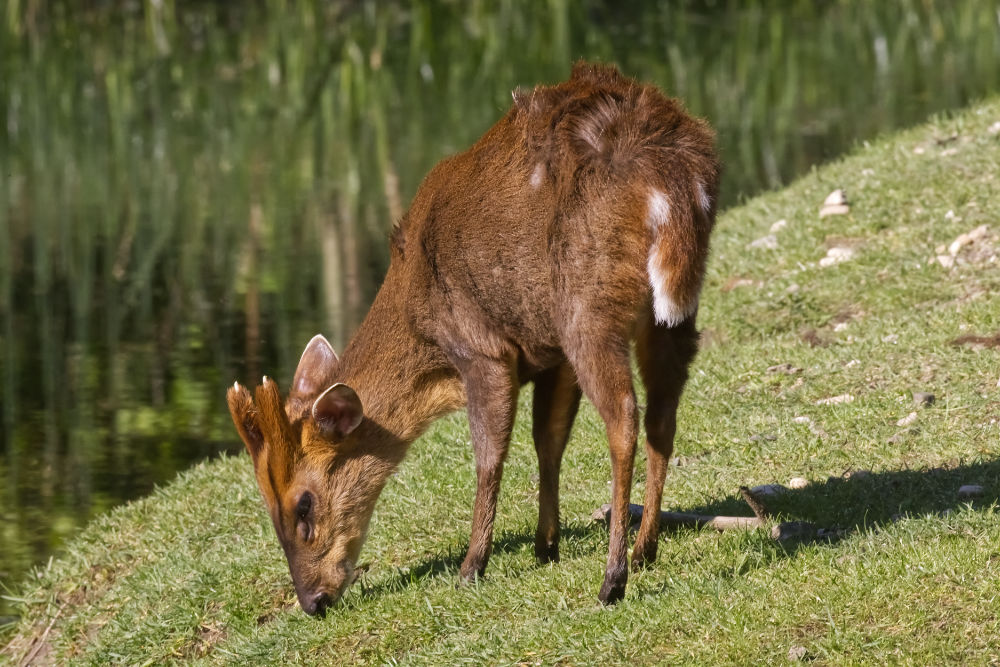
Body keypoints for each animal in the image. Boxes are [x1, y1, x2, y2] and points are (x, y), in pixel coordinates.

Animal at [225, 62, 720, 616]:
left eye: (302, 505)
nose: (313, 600)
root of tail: (674, 175)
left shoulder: (484, 349)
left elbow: (489, 456)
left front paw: (471, 567)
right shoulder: (548, 353)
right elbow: (548, 439)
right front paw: (545, 544)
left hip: (588, 310)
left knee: (624, 417)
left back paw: (612, 579)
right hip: (668, 316)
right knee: (662, 414)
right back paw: (644, 549)